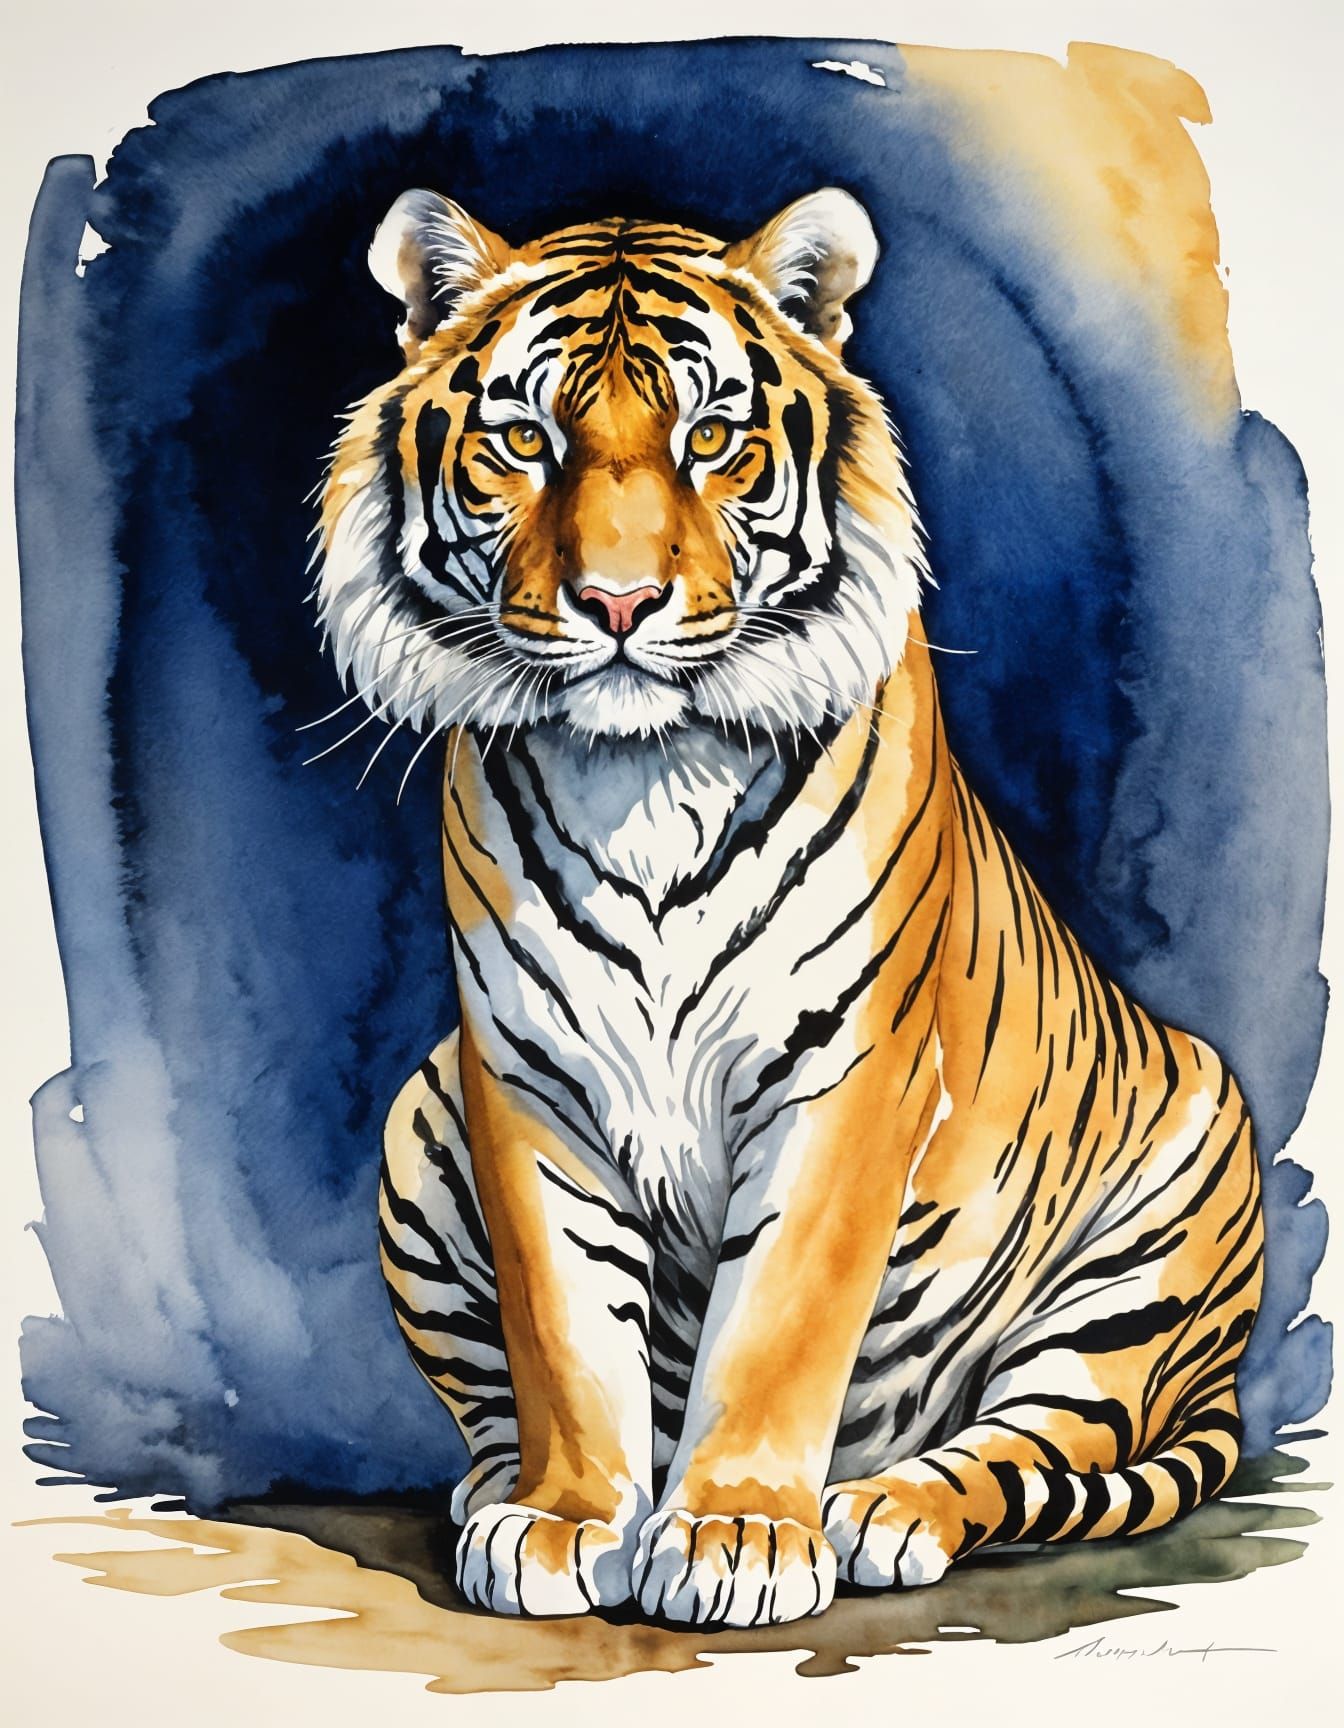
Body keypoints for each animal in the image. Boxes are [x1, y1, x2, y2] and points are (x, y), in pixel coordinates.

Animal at [313, 184, 1263, 1628]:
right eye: (526, 441)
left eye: (711, 439)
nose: (619, 602)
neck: (642, 776)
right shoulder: (524, 1079)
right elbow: (562, 1330)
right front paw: (565, 1519)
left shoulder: (848, 1077)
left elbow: (777, 1323)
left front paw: (737, 1534)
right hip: (419, 1123)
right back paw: (497, 1489)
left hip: (1150, 1255)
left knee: (1022, 1451)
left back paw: (882, 1509)